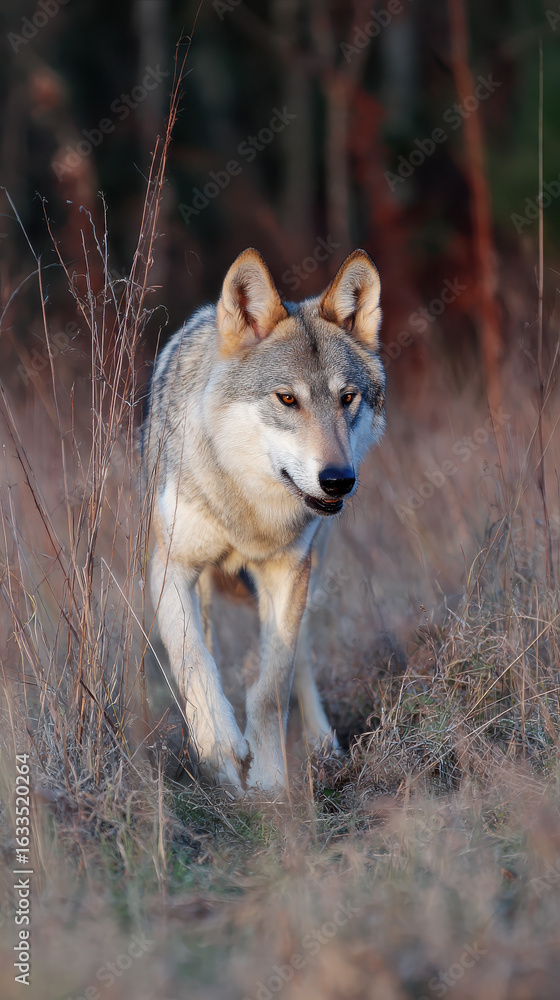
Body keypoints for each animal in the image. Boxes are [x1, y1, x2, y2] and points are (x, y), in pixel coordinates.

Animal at [142, 247, 385, 792]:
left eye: (347, 398)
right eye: (287, 398)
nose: (338, 481)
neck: (249, 510)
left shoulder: (288, 572)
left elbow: (272, 685)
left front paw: (271, 779)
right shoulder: (171, 567)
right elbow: (193, 659)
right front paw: (219, 748)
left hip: (311, 575)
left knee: (302, 660)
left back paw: (321, 745)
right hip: (206, 587)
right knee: (208, 645)